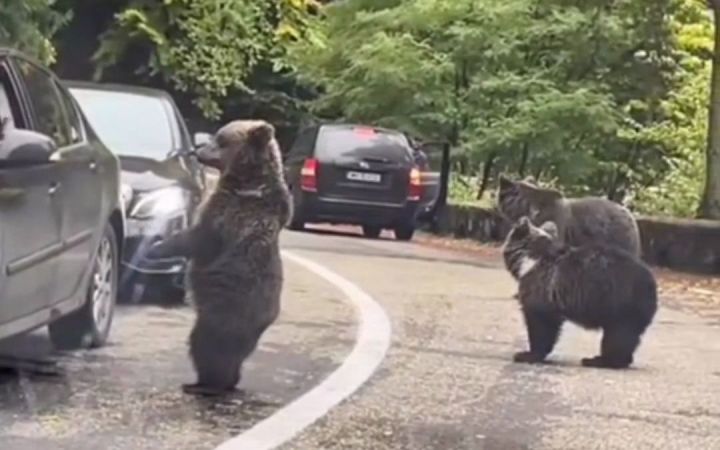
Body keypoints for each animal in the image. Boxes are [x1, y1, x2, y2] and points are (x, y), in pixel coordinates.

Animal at [146, 119, 292, 395]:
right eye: (215, 135)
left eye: (221, 140)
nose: (197, 150)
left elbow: (195, 239)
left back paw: (205, 384)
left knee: (206, 347)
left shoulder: (226, 218)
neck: (248, 183)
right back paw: (226, 381)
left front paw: (156, 247)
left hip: (224, 313)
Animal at [502, 216, 658, 369]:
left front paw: (527, 354)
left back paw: (598, 360)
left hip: (620, 305)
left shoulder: (541, 286)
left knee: (617, 337)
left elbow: (541, 322)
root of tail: (652, 284)